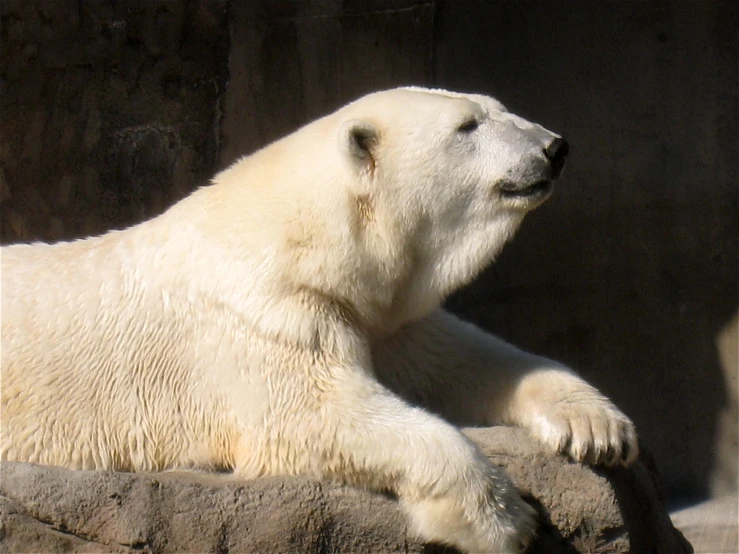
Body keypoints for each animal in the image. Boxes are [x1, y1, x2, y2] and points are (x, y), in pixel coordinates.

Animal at [0, 88, 640, 548]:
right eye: (467, 126)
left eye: (499, 108)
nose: (554, 147)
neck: (306, 237)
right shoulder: (269, 312)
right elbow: (317, 415)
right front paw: (507, 517)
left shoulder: (379, 314)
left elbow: (458, 360)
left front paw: (597, 429)